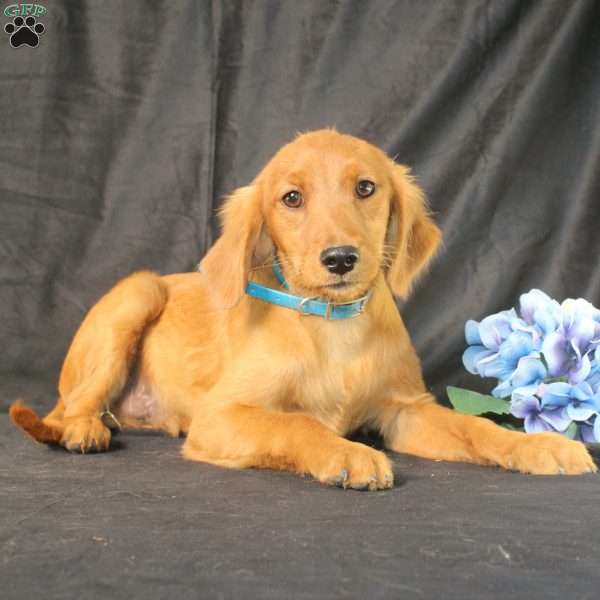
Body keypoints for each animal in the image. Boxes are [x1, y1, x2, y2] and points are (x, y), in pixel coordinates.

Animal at [9, 130, 596, 488]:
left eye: (366, 188)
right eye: (291, 198)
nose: (340, 259)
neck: (333, 326)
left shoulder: (406, 411)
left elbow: (477, 429)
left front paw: (541, 447)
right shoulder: (222, 416)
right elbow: (295, 426)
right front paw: (347, 453)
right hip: (138, 294)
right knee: (67, 409)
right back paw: (84, 429)